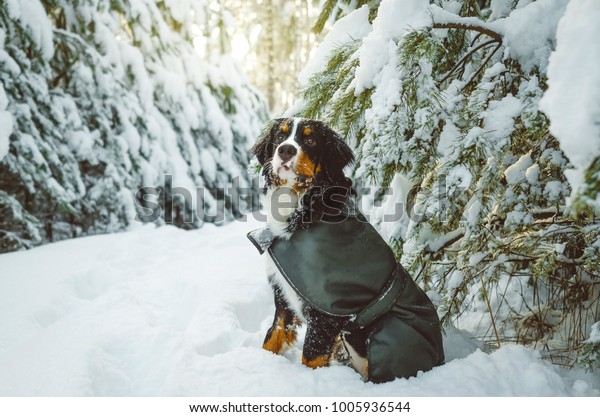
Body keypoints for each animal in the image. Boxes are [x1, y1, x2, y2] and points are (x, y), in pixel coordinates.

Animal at [250, 117, 446, 380]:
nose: (286, 150)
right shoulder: (283, 296)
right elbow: (273, 336)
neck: (305, 211)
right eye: (280, 137)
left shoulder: (325, 315)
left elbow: (310, 357)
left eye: (311, 140)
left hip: (362, 334)